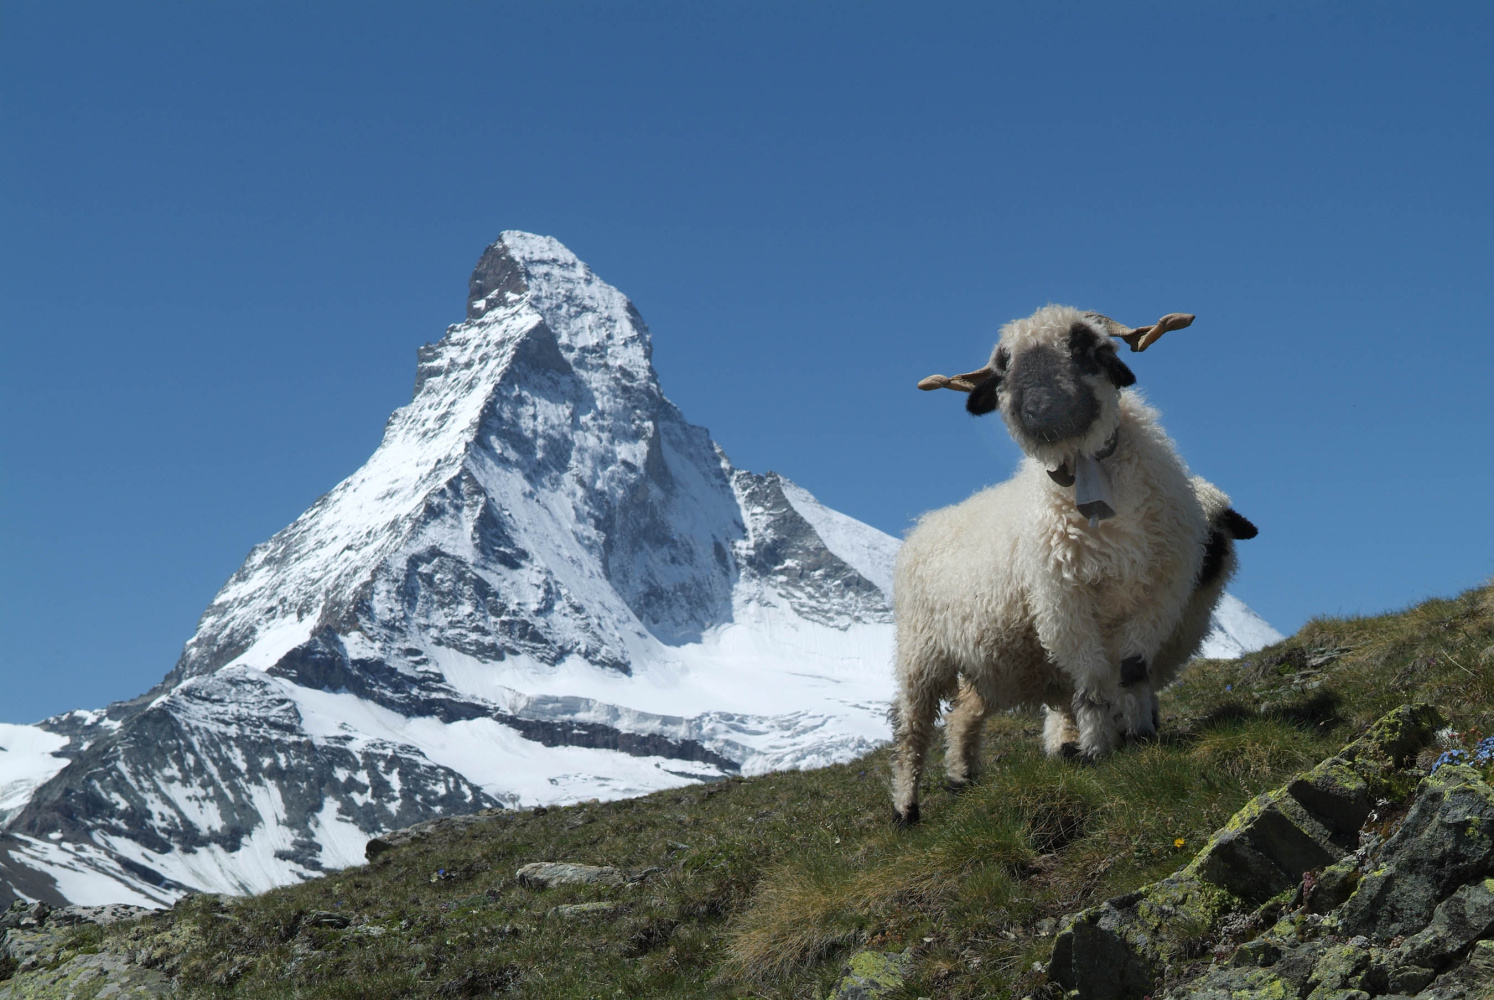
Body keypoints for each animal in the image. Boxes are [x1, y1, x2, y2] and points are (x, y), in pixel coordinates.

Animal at [891, 304, 1232, 825]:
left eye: (1086, 346)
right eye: (1004, 367)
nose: (1040, 411)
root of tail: (924, 524)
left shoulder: (1160, 593)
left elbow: (1133, 671)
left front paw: (1141, 736)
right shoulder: (1063, 603)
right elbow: (1090, 683)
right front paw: (1095, 750)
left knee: (964, 713)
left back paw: (962, 777)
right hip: (920, 653)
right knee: (911, 730)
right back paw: (906, 808)